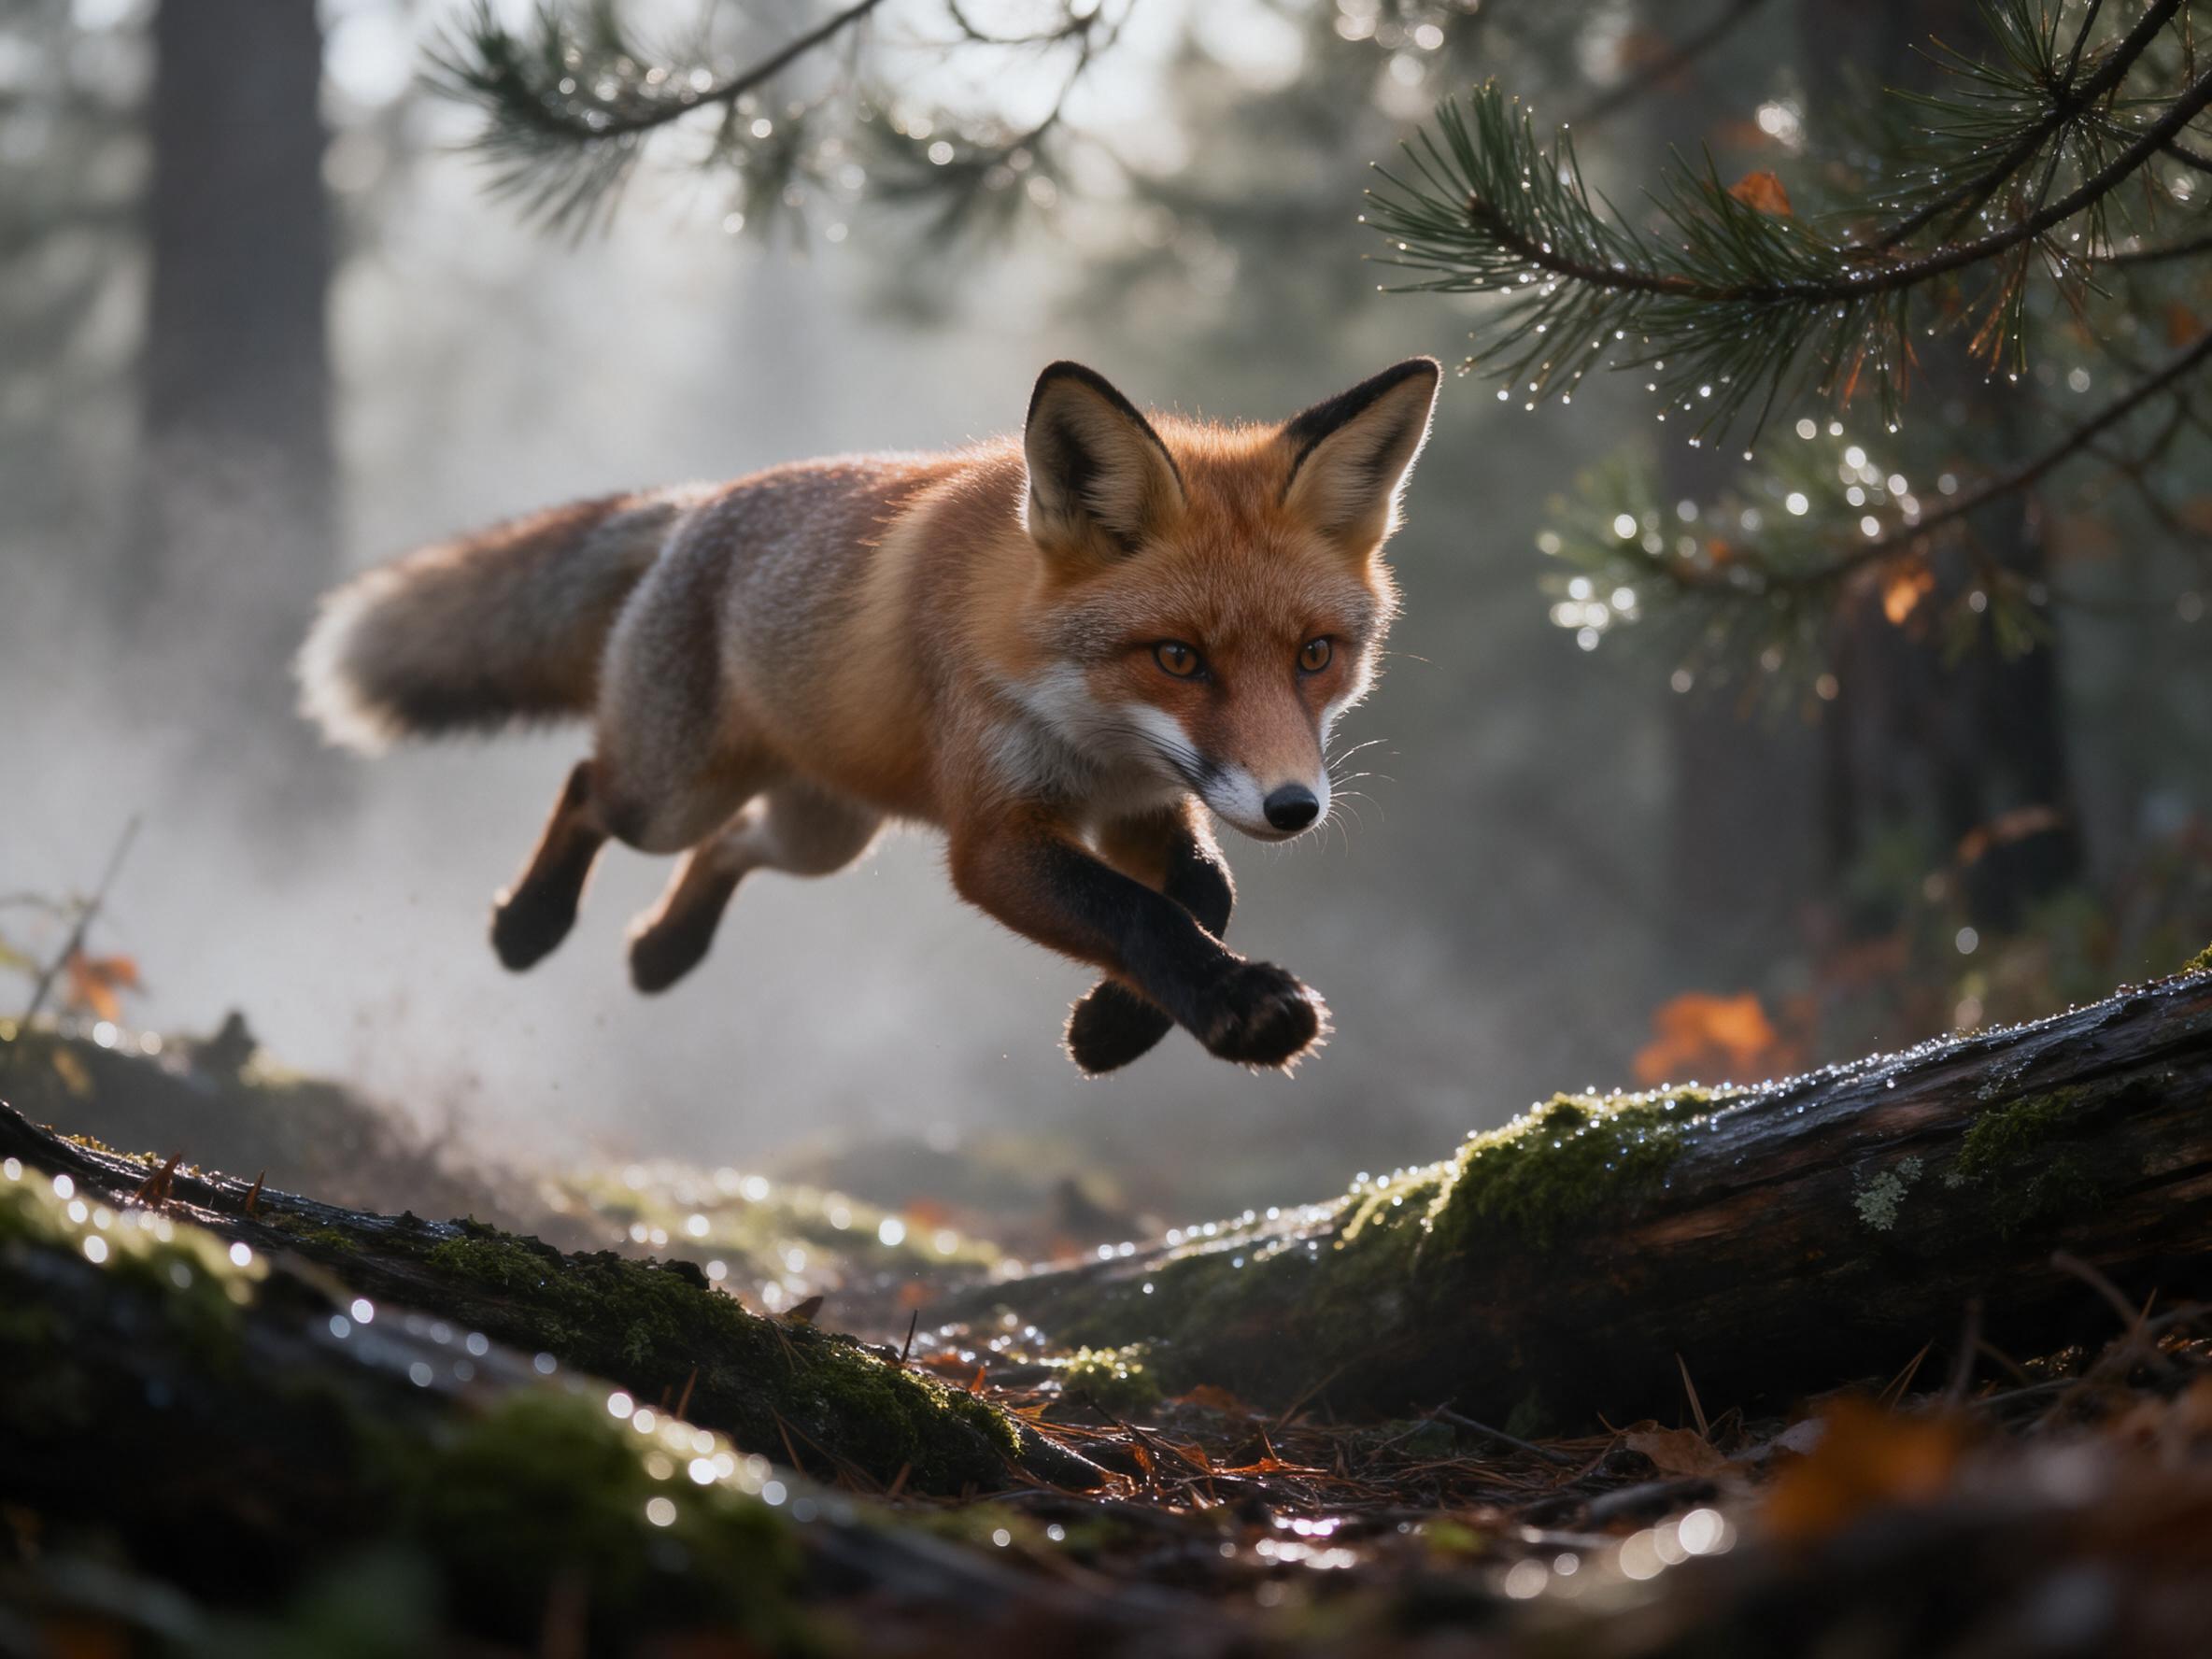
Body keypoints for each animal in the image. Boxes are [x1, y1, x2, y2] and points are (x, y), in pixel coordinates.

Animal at [298, 357, 1439, 1074]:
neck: (1088, 733)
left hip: (823, 833)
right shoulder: (994, 837)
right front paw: (1232, 1008)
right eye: (1178, 658)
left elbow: (1205, 892)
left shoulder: (1139, 805)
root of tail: (701, 502)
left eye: (1315, 656)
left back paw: (663, 953)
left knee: (729, 848)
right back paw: (530, 926)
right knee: (590, 788)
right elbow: (1140, 913)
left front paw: (1117, 1027)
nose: (1294, 808)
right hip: (668, 793)